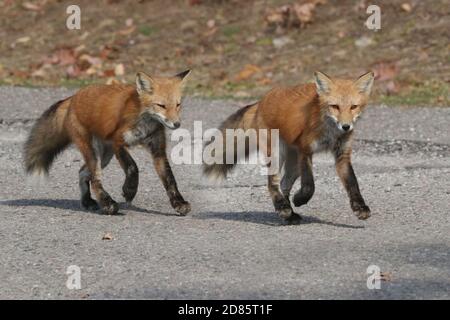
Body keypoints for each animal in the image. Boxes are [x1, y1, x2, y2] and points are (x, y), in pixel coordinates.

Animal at [23, 70, 192, 215]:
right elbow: (132, 167)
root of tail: (73, 97)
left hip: (104, 156)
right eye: (161, 105)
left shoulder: (158, 150)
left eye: (178, 105)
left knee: (82, 173)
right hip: (93, 152)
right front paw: (130, 190)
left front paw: (179, 203)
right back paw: (108, 204)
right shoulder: (118, 142)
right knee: (95, 180)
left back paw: (87, 201)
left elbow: (170, 180)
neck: (145, 123)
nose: (177, 124)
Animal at [202, 71, 374, 224]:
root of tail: (261, 101)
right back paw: (283, 208)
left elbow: (353, 183)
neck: (331, 132)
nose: (346, 127)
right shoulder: (305, 150)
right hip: (277, 154)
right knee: (272, 184)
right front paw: (300, 199)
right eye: (335, 106)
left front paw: (360, 208)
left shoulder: (342, 155)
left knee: (284, 184)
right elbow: (309, 186)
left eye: (353, 107)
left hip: (294, 163)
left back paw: (289, 214)